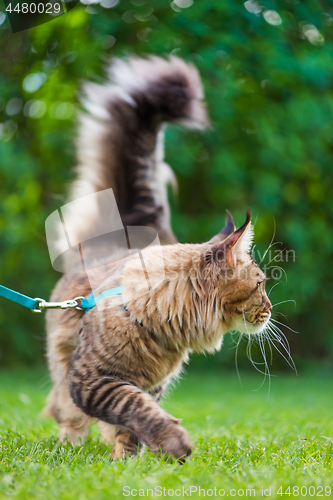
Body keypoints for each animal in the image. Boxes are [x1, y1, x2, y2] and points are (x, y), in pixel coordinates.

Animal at [42, 53, 272, 460]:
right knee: (67, 415)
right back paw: (69, 446)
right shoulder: (90, 381)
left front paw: (126, 462)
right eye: (260, 285)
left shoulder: (152, 385)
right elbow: (132, 405)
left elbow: (131, 424)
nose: (271, 309)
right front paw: (171, 443)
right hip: (63, 373)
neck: (161, 328)